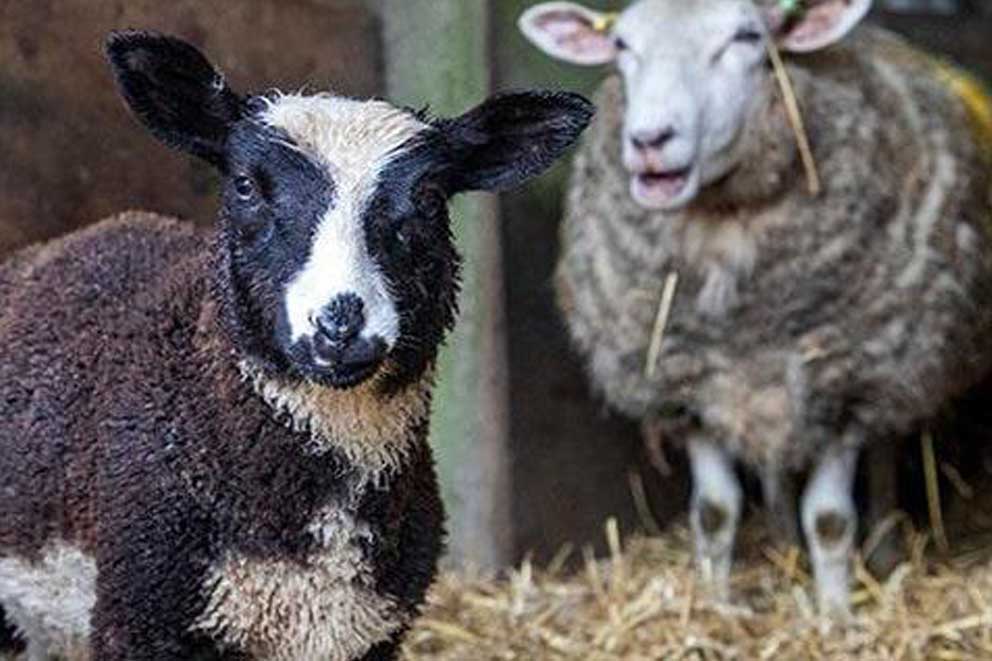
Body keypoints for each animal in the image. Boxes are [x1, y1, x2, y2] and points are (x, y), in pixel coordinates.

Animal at [520, 0, 992, 614]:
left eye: (747, 37)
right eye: (622, 45)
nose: (650, 139)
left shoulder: (842, 384)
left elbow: (831, 520)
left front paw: (834, 615)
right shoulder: (688, 385)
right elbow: (714, 513)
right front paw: (713, 603)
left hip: (893, 364)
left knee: (884, 461)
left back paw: (882, 553)